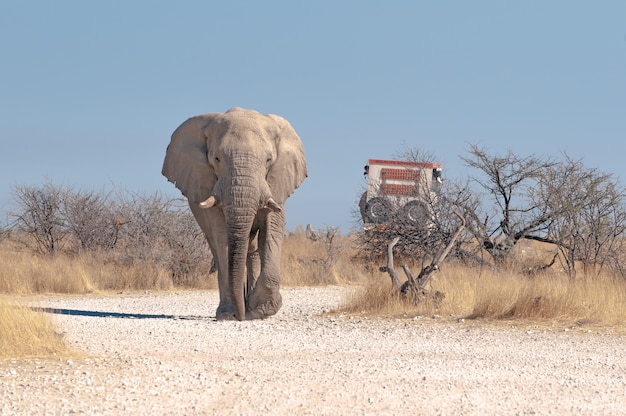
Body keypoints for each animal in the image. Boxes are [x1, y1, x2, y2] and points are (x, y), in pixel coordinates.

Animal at [162, 108, 306, 322]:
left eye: (268, 160)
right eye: (216, 159)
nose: (241, 316)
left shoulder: (276, 180)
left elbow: (272, 229)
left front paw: (261, 310)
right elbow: (222, 236)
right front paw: (231, 314)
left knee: (253, 250)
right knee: (218, 246)